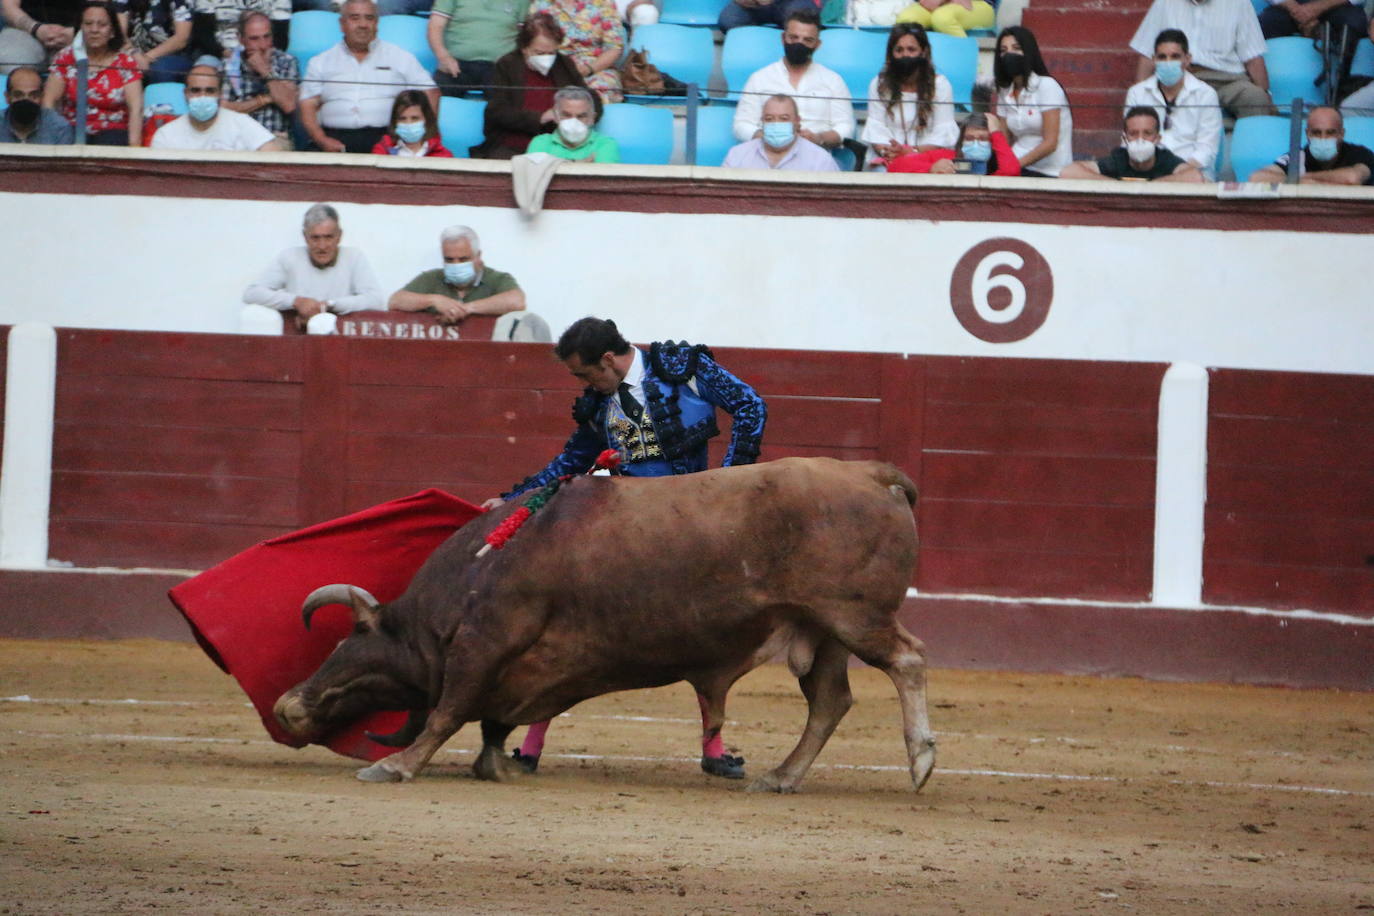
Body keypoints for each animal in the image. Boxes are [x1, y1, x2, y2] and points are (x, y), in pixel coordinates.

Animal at [273, 458, 939, 796]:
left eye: (349, 640)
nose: (287, 706)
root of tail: (874, 475)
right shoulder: (518, 667)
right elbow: (489, 718)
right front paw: (498, 765)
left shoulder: (485, 641)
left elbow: (448, 709)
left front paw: (395, 766)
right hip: (823, 632)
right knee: (830, 700)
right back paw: (781, 776)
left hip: (855, 617)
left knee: (907, 660)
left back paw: (921, 762)